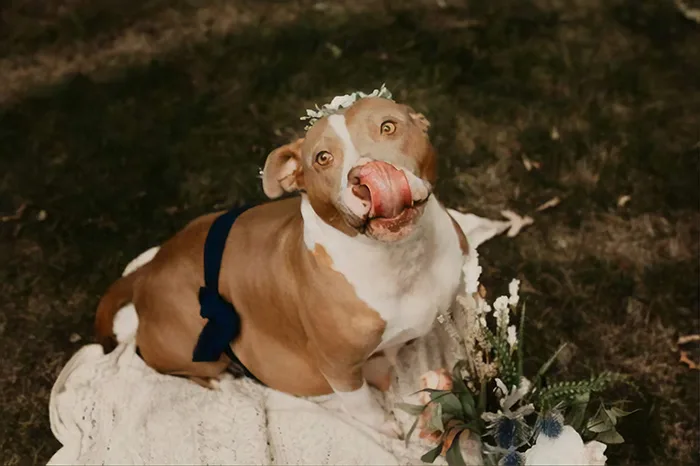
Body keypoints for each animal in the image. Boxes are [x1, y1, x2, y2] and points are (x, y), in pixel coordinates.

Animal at [95, 95, 468, 436]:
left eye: (388, 127)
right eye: (322, 158)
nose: (367, 174)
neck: (401, 258)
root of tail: (151, 266)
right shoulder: (339, 368)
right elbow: (363, 404)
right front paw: (388, 427)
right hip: (190, 343)